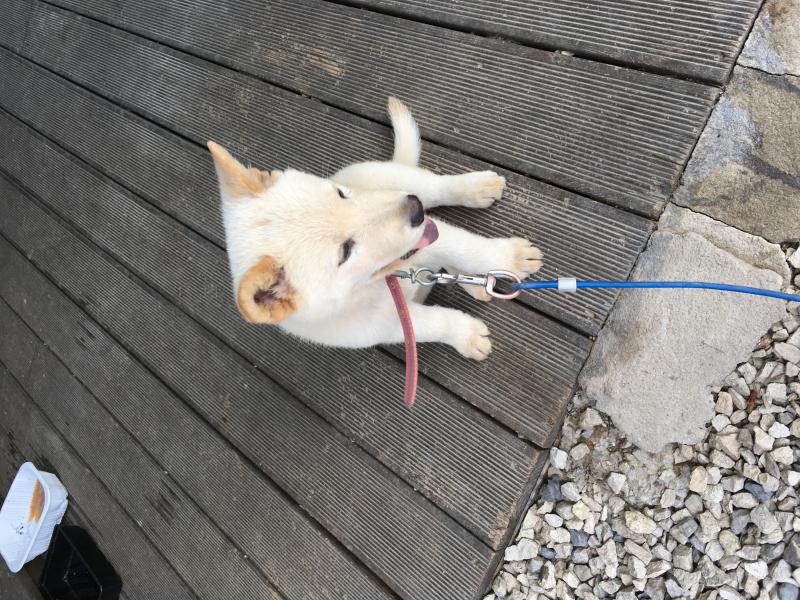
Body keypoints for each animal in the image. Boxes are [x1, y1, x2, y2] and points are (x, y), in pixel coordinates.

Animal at [207, 97, 542, 360]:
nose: (415, 209)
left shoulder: (427, 232)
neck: (377, 283)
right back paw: (473, 283)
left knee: (436, 187)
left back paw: (476, 188)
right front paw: (467, 335)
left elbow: (468, 248)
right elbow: (435, 323)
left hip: (396, 180)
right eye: (345, 252)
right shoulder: (387, 326)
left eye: (340, 194)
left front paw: (510, 257)